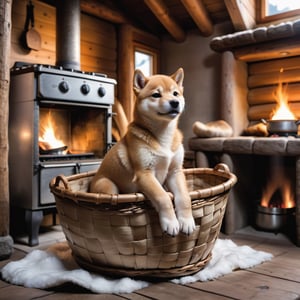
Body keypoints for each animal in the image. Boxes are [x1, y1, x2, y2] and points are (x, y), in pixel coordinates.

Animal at [90, 68, 196, 237]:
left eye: (175, 93)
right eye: (156, 95)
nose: (175, 102)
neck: (163, 136)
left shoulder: (175, 171)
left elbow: (184, 197)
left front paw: (186, 221)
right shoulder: (145, 174)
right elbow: (163, 197)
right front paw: (171, 222)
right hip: (108, 187)